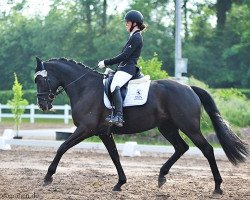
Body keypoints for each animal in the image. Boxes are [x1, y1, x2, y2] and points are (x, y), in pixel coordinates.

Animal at [34, 57, 248, 195]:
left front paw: (48, 177)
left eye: (40, 79)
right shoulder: (104, 133)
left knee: (207, 150)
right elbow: (115, 156)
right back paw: (161, 177)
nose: (43, 105)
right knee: (181, 147)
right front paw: (120, 183)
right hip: (167, 127)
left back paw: (218, 187)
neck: (85, 87)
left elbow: (62, 147)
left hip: (189, 127)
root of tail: (189, 88)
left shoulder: (86, 129)